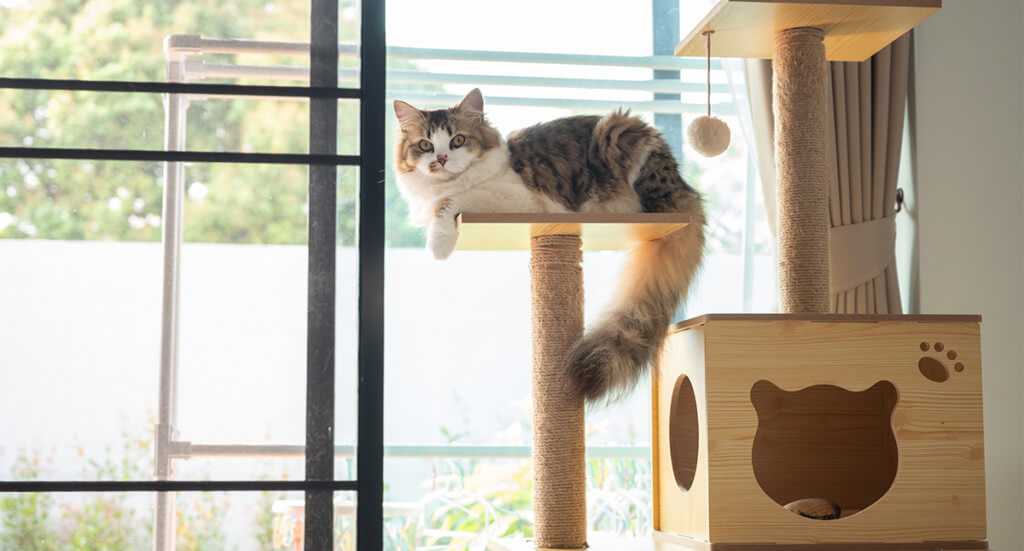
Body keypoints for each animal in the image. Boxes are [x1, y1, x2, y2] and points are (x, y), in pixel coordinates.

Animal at [391, 88, 704, 401]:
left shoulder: (515, 199)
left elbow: (448, 203)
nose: (442, 159)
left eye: (457, 140)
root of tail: (685, 189)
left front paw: (439, 245)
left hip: (618, 134)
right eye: (425, 145)